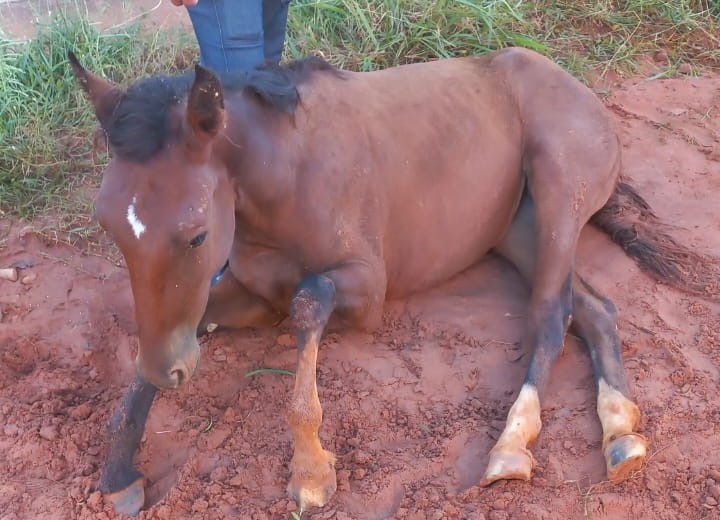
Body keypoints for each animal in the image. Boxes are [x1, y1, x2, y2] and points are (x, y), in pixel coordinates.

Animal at [66, 45, 716, 516]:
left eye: (198, 235)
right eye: (108, 224)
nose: (171, 372)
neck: (288, 173)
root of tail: (579, 90)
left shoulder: (365, 291)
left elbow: (309, 302)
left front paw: (311, 469)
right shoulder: (249, 296)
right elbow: (189, 328)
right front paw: (119, 471)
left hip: (560, 192)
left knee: (551, 315)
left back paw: (511, 447)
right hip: (517, 231)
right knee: (594, 310)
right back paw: (620, 433)